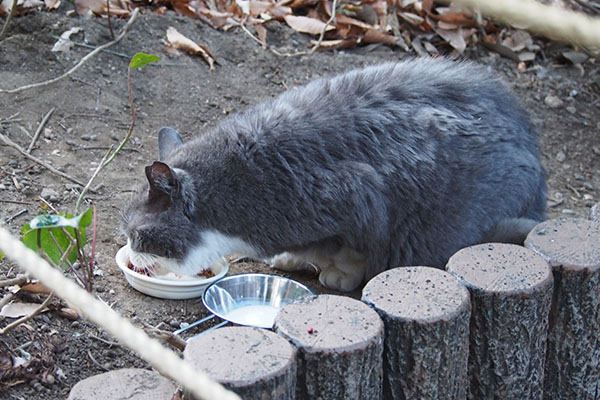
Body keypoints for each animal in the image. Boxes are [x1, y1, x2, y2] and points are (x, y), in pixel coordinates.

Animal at [122, 57, 548, 292]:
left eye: (137, 234)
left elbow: (349, 249)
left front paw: (338, 272)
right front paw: (293, 257)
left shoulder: (363, 199)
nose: (129, 253)